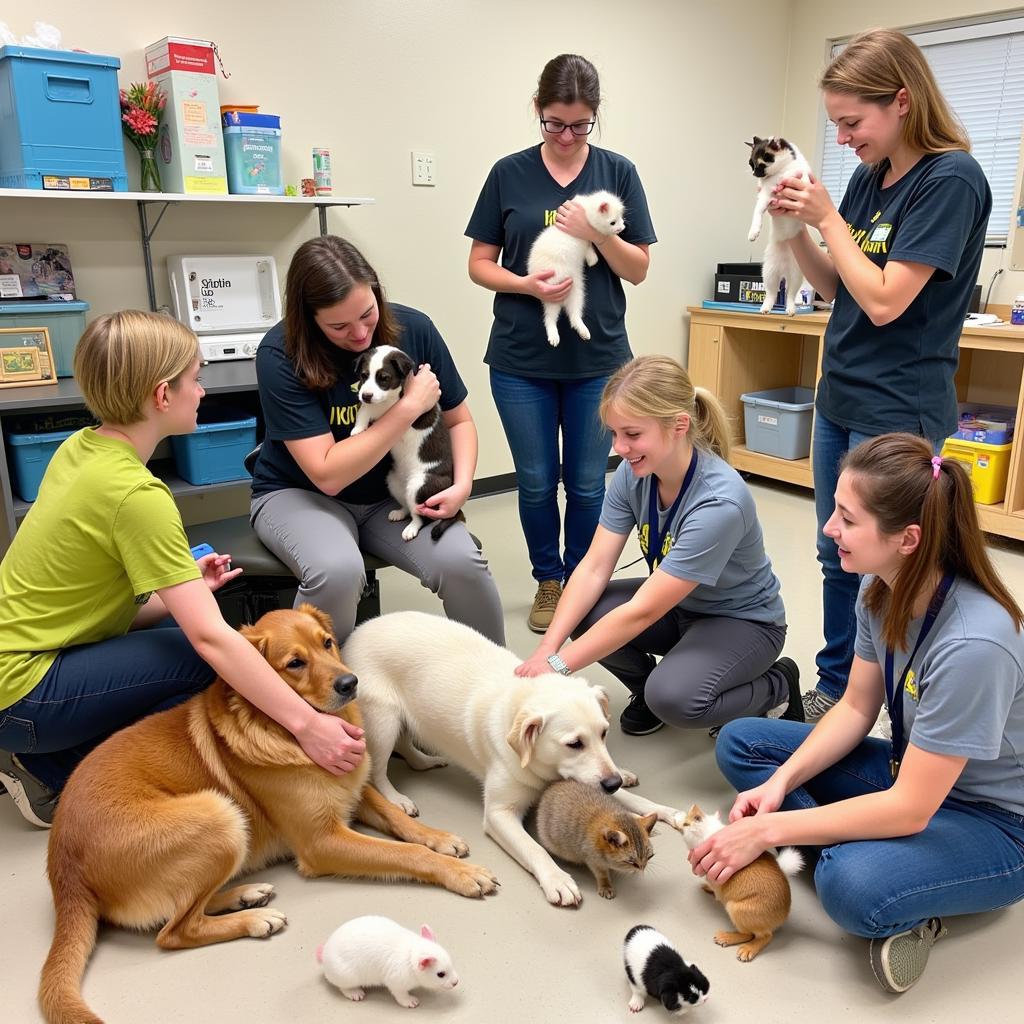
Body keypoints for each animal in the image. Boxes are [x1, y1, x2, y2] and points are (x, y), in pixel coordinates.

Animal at [39, 602, 499, 1019]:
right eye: (294, 663)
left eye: (327, 643)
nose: (351, 682)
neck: (288, 729)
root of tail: (62, 868)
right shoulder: (322, 841)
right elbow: (405, 854)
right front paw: (461, 875)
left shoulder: (353, 790)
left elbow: (398, 819)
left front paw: (441, 839)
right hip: (220, 814)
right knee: (175, 931)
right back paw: (254, 919)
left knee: (184, 910)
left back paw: (245, 895)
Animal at [339, 610, 684, 909]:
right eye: (574, 744)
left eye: (604, 733)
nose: (612, 782)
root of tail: (361, 627)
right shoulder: (498, 814)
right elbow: (535, 849)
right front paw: (557, 879)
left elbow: (636, 800)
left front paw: (665, 810)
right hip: (383, 720)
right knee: (379, 769)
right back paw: (397, 798)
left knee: (407, 745)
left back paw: (424, 761)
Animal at [350, 346, 466, 544]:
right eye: (364, 375)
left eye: (384, 378)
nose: (365, 395)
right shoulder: (371, 404)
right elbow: (365, 411)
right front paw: (358, 429)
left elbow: (380, 410)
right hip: (394, 482)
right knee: (408, 506)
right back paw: (400, 512)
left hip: (419, 485)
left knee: (421, 517)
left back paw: (411, 528)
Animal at [528, 191, 622, 348]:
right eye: (612, 222)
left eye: (621, 218)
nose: (622, 228)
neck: (587, 211)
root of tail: (563, 301)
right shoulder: (584, 238)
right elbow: (589, 246)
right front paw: (593, 259)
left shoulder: (586, 239)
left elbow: (589, 245)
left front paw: (591, 260)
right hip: (552, 292)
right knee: (549, 319)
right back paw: (554, 337)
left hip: (577, 293)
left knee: (574, 316)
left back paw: (583, 331)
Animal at [749, 136, 811, 313]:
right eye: (751, 164)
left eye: (761, 164)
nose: (754, 173)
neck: (782, 172)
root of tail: (783, 270)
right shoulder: (765, 195)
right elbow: (757, 212)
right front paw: (753, 231)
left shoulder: (802, 178)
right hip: (769, 273)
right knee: (771, 294)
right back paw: (765, 308)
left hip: (796, 275)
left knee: (790, 295)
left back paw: (790, 309)